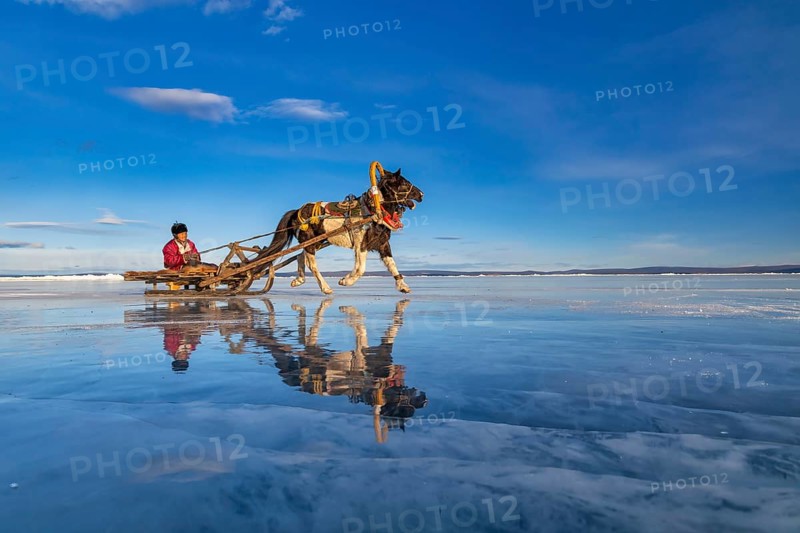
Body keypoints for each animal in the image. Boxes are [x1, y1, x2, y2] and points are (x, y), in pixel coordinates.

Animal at [258, 168, 424, 294]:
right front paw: (346, 281)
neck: (373, 210)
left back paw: (299, 280)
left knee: (300, 256)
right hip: (309, 241)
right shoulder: (361, 245)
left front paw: (402, 285)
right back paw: (325, 288)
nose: (421, 194)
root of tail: (297, 211)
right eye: (405, 183)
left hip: (316, 241)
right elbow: (360, 268)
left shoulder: (383, 244)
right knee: (312, 264)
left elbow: (392, 264)